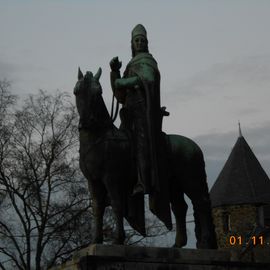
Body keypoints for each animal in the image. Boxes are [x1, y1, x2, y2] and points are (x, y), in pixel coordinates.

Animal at [74, 68, 217, 249]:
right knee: (180, 207)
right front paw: (96, 240)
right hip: (172, 183)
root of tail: (194, 147)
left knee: (201, 203)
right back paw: (178, 244)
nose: (88, 121)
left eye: (98, 91)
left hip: (191, 180)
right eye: (76, 91)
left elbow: (116, 204)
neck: (99, 137)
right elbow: (97, 207)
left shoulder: (112, 179)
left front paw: (118, 239)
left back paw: (205, 242)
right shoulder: (93, 181)